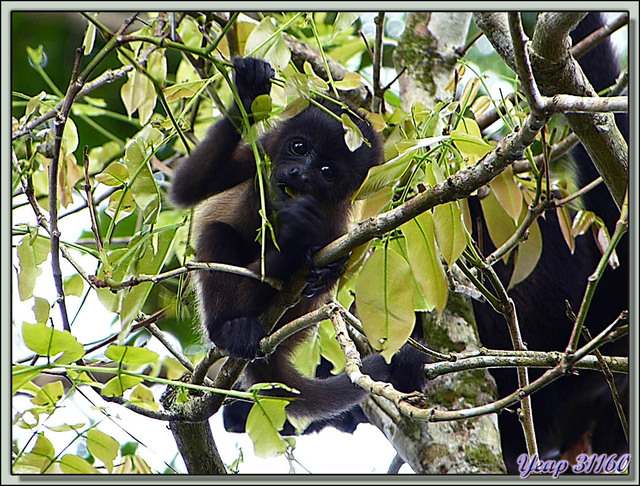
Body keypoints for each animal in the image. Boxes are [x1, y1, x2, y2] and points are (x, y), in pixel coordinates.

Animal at [170, 57, 425, 422]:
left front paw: (322, 264)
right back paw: (228, 327)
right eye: (299, 147)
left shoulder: (338, 222)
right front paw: (248, 90)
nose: (298, 174)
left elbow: (336, 262)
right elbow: (187, 185)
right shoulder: (258, 155)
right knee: (216, 233)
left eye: (327, 171)